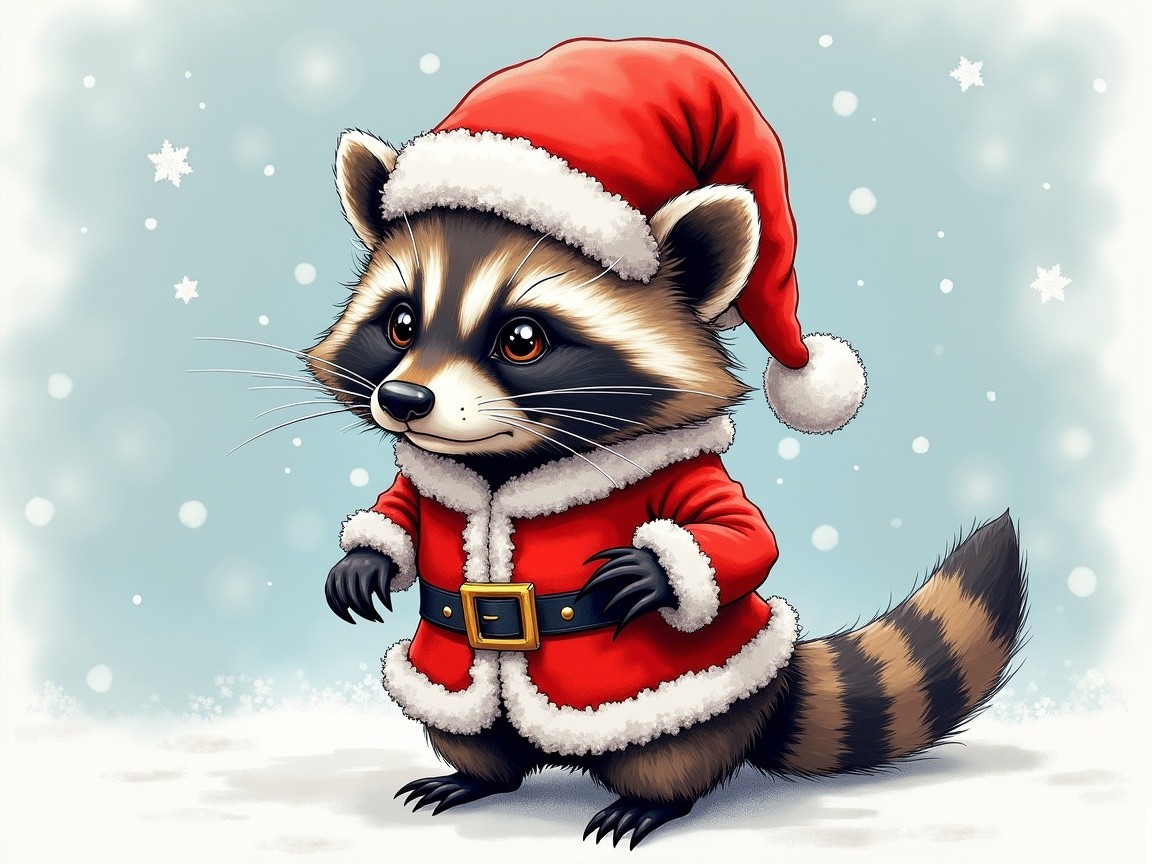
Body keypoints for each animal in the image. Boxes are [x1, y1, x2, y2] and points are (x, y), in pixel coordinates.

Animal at [305, 39, 1026, 849]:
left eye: (521, 340)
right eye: (401, 324)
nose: (404, 402)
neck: (502, 469)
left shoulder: (680, 468)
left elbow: (739, 532)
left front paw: (656, 568)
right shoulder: (436, 477)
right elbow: (399, 506)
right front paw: (365, 556)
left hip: (688, 702)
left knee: (671, 747)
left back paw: (653, 797)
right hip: (452, 687)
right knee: (472, 730)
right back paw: (475, 775)